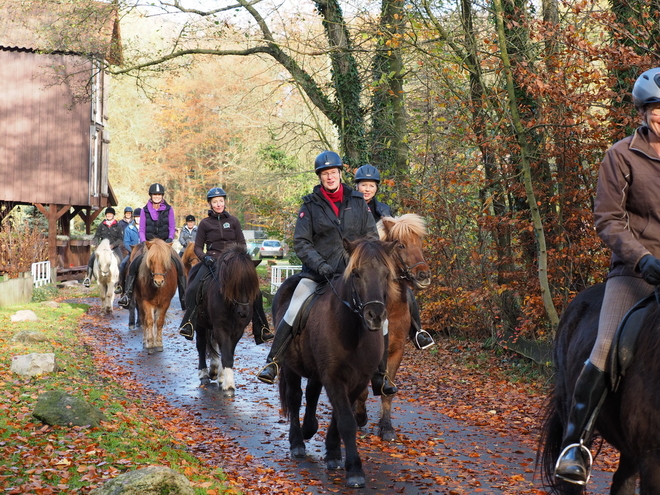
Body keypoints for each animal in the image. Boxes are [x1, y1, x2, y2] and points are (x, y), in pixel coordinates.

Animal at [193, 243, 260, 396]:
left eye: (252, 285)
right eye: (233, 284)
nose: (243, 312)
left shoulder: (237, 331)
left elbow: (228, 352)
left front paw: (223, 378)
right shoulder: (220, 327)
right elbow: (226, 354)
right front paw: (229, 386)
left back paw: (215, 371)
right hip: (200, 323)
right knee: (201, 345)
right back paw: (204, 374)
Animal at [274, 238, 398, 490]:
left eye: (386, 274)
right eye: (356, 273)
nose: (375, 316)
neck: (353, 331)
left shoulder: (357, 380)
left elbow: (339, 417)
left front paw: (333, 454)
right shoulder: (334, 377)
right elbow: (347, 421)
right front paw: (355, 471)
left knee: (312, 393)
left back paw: (309, 428)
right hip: (290, 367)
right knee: (294, 398)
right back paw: (297, 442)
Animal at [354, 213, 430, 442]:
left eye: (420, 242)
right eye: (401, 245)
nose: (423, 275)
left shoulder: (396, 350)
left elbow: (388, 390)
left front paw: (386, 427)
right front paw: (359, 417)